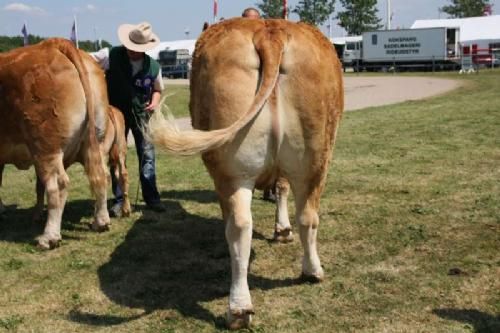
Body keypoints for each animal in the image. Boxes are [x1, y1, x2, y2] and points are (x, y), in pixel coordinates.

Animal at [0, 38, 110, 246]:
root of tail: (54, 43)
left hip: (46, 146)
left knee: (57, 185)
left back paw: (49, 237)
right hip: (95, 142)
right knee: (101, 175)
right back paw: (100, 222)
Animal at [148, 19, 344, 328]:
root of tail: (268, 31)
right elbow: (282, 189)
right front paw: (282, 230)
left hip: (232, 169)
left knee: (240, 225)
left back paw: (239, 308)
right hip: (315, 159)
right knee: (306, 216)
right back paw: (311, 272)